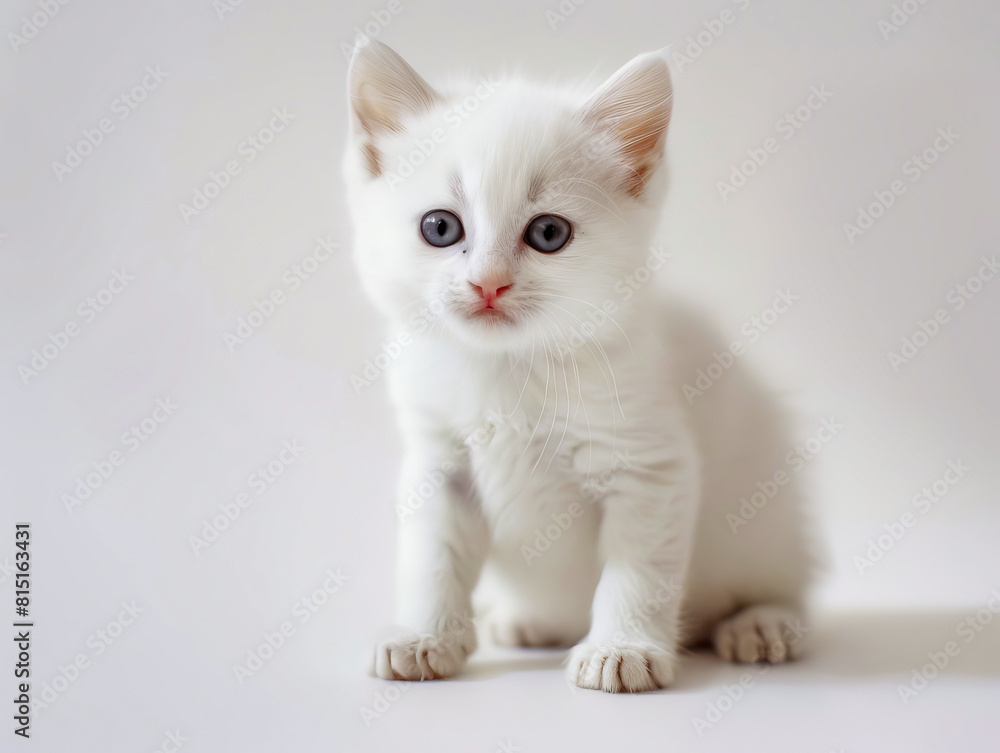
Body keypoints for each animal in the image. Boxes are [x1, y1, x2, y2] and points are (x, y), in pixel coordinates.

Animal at [344, 38, 812, 692]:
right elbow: (431, 557)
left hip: (769, 510)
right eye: (439, 227)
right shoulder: (438, 461)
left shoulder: (650, 464)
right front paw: (423, 636)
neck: (509, 369)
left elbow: (638, 568)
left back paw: (763, 623)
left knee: (778, 582)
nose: (488, 284)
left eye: (548, 233)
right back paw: (523, 620)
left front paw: (624, 649)